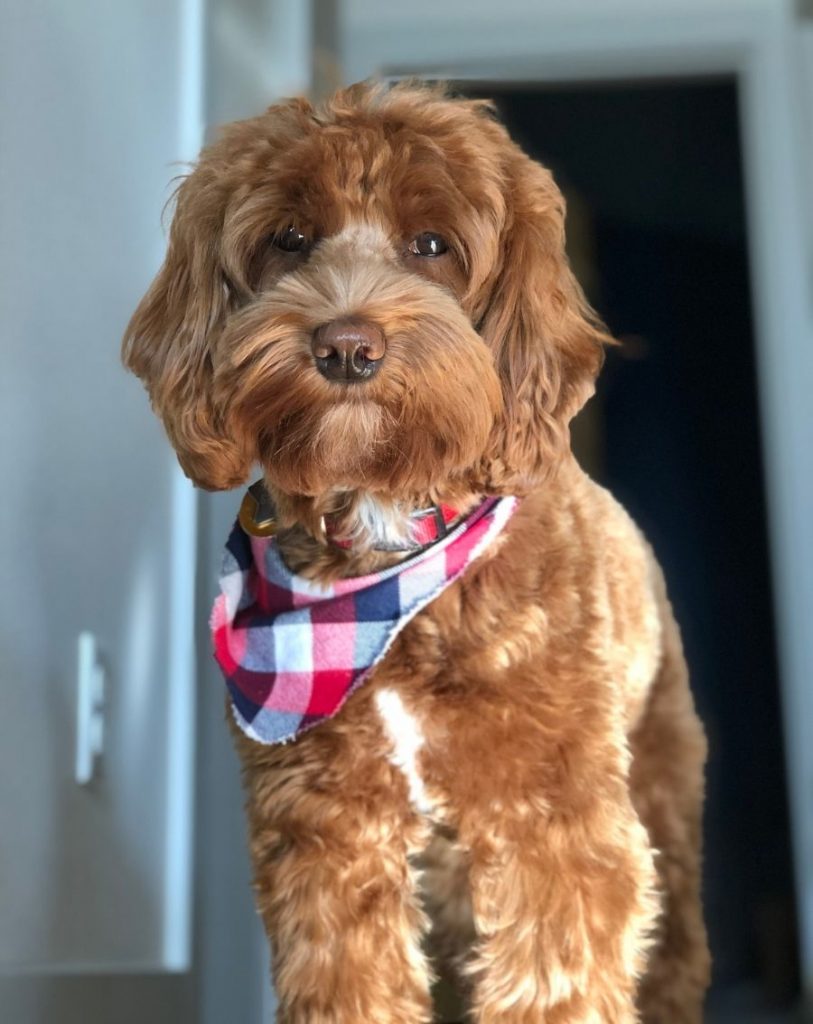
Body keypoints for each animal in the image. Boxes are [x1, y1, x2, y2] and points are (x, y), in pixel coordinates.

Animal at [123, 81, 704, 1024]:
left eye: (431, 245)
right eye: (290, 238)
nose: (345, 347)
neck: (391, 555)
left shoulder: (556, 822)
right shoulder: (326, 831)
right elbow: (349, 979)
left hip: (662, 796)